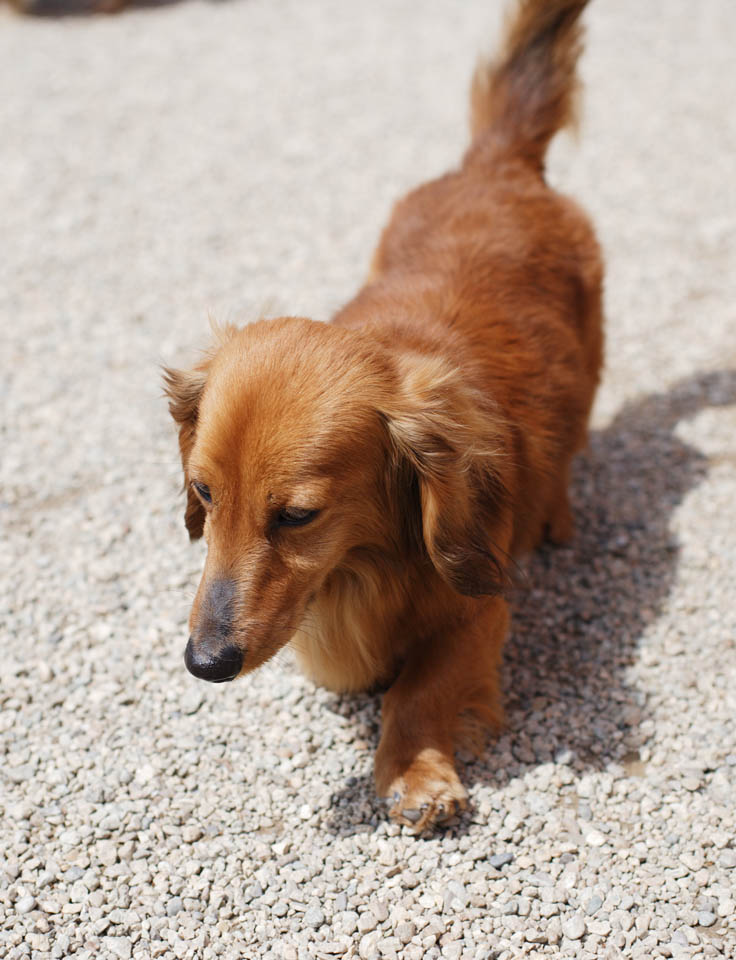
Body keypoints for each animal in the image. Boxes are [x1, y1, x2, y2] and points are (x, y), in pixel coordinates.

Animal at [165, 0, 604, 832]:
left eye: (297, 516)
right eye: (204, 494)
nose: (204, 663)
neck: (365, 565)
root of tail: (493, 165)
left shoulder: (479, 604)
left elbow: (419, 687)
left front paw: (414, 772)